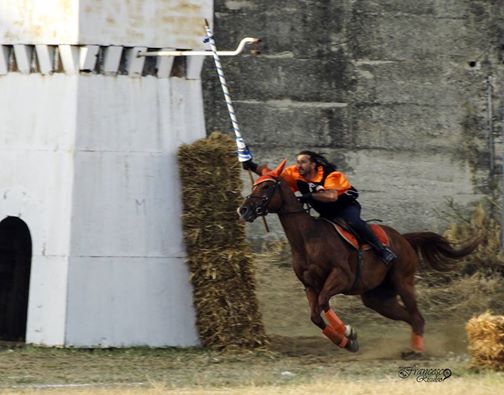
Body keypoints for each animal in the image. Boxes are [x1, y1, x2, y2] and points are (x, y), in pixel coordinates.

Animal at [240, 159, 480, 358]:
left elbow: (323, 302)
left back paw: (417, 351)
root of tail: (403, 238)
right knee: (410, 317)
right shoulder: (309, 285)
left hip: (403, 281)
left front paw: (348, 331)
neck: (309, 238)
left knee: (417, 317)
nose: (243, 210)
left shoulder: (341, 277)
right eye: (255, 185)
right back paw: (411, 347)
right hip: (376, 297)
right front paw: (346, 341)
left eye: (267, 187)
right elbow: (316, 315)